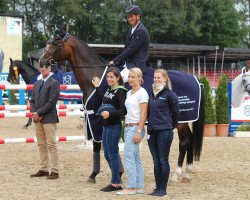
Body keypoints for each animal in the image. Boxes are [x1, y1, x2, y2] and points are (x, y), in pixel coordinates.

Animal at [39, 32, 203, 183]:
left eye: (56, 44)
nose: (42, 62)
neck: (94, 76)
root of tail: (196, 79)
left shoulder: (95, 118)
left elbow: (98, 145)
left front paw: (95, 174)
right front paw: (118, 171)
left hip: (181, 120)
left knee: (184, 142)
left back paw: (176, 175)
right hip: (183, 122)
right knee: (190, 139)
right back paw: (186, 173)